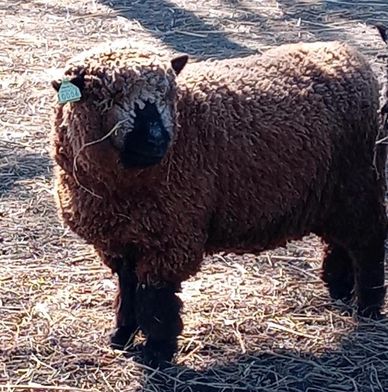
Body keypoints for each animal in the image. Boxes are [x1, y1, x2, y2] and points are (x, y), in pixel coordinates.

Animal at [50, 39, 386, 368]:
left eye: (169, 94)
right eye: (112, 95)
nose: (157, 140)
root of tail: (349, 57)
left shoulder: (171, 237)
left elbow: (157, 300)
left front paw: (157, 352)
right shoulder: (120, 241)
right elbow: (128, 289)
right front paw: (121, 335)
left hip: (359, 184)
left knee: (367, 245)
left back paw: (367, 306)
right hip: (333, 196)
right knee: (340, 242)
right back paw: (339, 288)